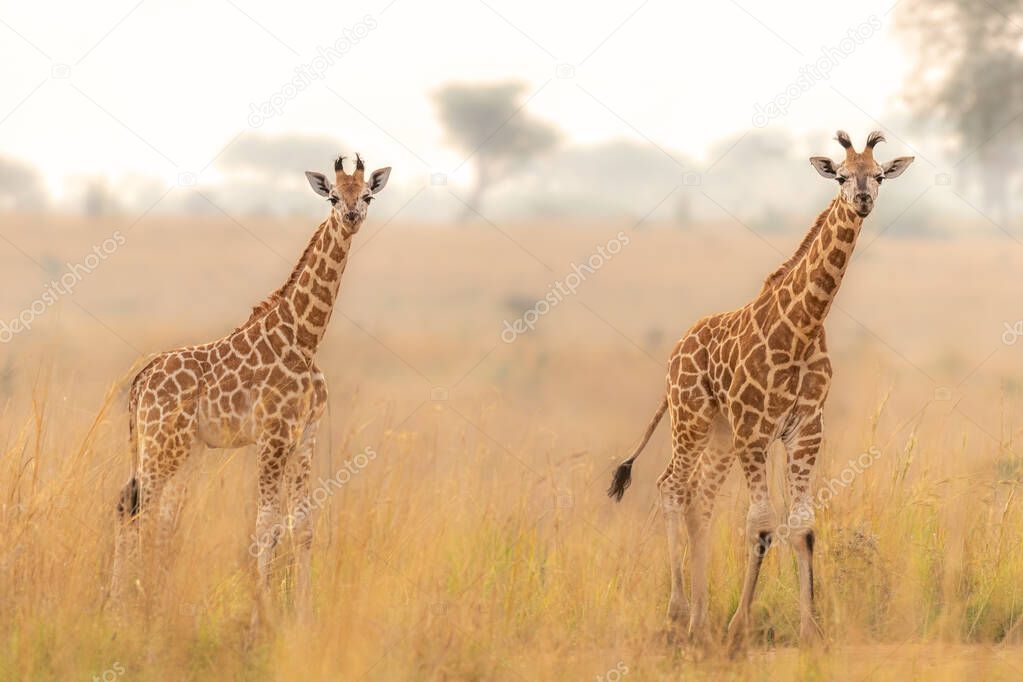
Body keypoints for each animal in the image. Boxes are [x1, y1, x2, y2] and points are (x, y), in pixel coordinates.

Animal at [112, 156, 390, 617]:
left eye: (367, 195)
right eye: (333, 196)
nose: (351, 217)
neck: (305, 337)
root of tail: (139, 381)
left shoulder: (306, 434)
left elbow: (302, 527)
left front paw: (302, 614)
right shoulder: (273, 436)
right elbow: (266, 528)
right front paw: (262, 613)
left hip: (182, 448)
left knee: (160, 518)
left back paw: (155, 598)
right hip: (161, 443)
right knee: (132, 509)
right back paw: (125, 604)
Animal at [609, 130, 916, 650]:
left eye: (878, 175)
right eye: (840, 175)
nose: (862, 200)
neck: (803, 329)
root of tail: (674, 353)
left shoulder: (804, 431)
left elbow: (803, 527)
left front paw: (811, 631)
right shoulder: (755, 429)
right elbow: (761, 525)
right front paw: (739, 630)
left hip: (719, 434)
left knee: (700, 499)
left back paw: (700, 620)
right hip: (691, 419)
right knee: (672, 486)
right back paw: (678, 616)